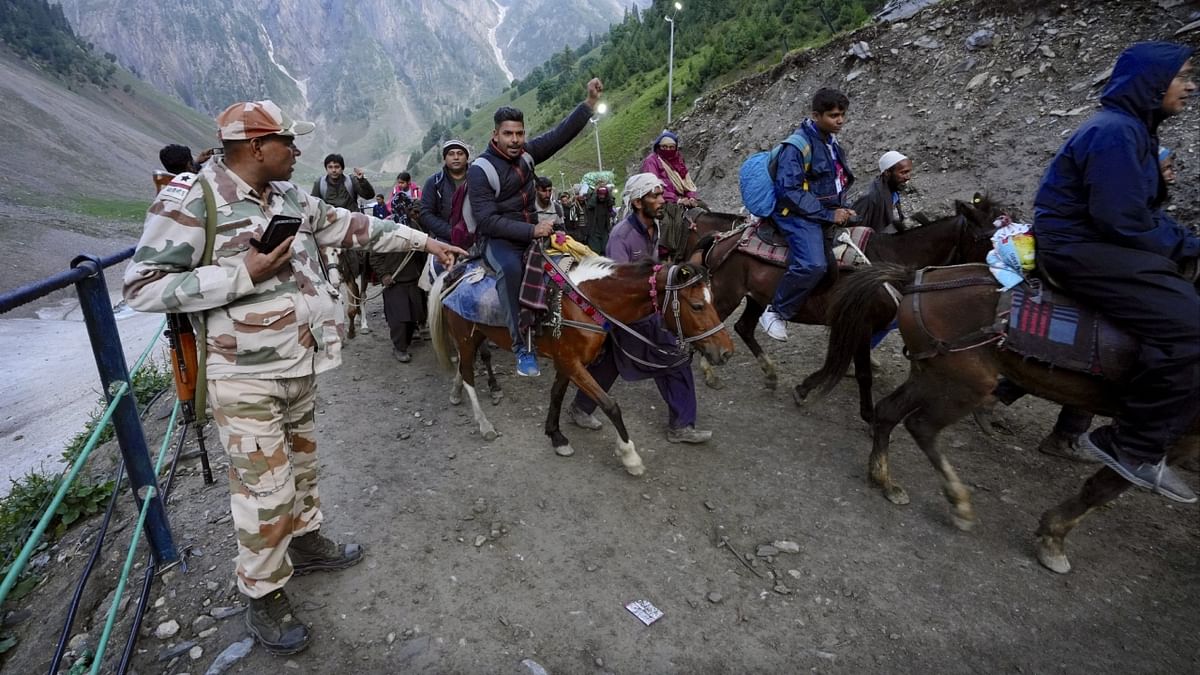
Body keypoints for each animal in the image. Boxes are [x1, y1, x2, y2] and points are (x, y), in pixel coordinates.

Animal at [427, 255, 734, 473]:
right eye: (697, 306)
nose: (726, 352)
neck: (584, 303)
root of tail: (454, 273)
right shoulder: (572, 363)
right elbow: (610, 405)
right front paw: (630, 455)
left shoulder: (567, 362)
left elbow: (557, 395)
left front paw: (556, 436)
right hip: (465, 337)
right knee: (468, 373)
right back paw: (484, 424)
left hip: (479, 333)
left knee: (464, 367)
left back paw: (460, 392)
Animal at [691, 193, 998, 420]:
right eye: (991, 239)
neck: (891, 261)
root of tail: (723, 238)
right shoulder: (862, 325)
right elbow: (861, 373)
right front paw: (868, 415)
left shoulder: (851, 325)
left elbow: (836, 362)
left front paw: (803, 389)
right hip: (728, 294)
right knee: (713, 323)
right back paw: (709, 371)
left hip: (757, 297)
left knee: (744, 327)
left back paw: (770, 374)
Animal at [811, 263, 1195, 571]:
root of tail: (914, 280)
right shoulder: (1172, 432)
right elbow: (1105, 487)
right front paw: (1053, 540)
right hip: (966, 383)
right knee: (921, 425)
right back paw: (959, 502)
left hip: (932, 373)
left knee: (888, 411)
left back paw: (885, 480)